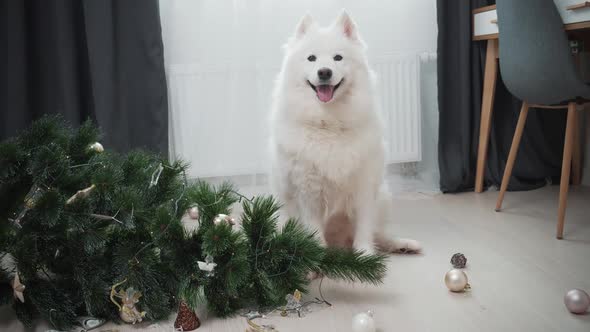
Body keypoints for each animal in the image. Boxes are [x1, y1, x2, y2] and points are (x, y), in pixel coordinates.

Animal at [270, 10, 424, 254]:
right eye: (311, 58)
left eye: (338, 58)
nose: (324, 72)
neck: (330, 122)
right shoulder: (308, 190)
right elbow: (313, 229)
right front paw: (318, 257)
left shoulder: (364, 185)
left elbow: (364, 227)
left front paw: (365, 255)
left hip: (382, 196)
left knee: (380, 235)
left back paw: (403, 245)